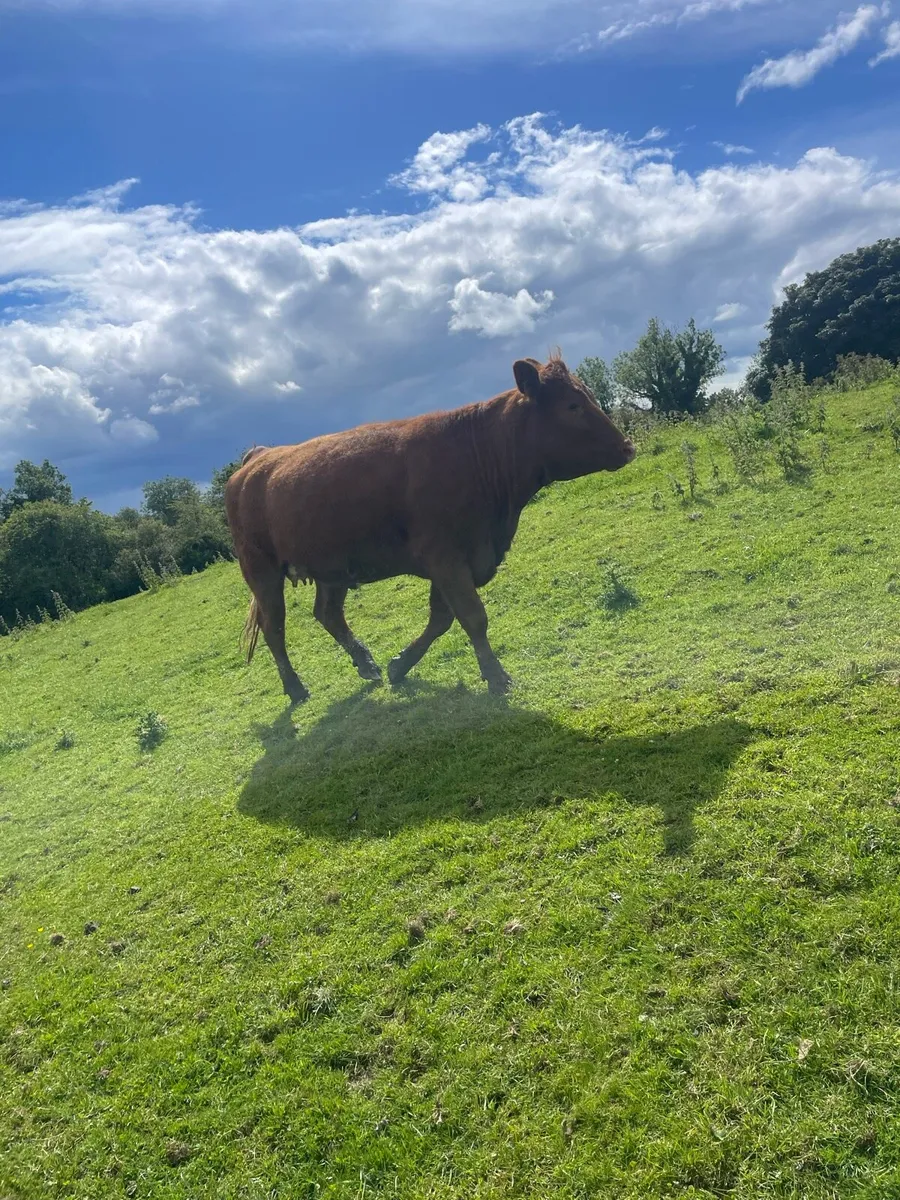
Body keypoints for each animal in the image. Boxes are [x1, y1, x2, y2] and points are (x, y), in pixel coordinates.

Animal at [224, 353, 636, 704]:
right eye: (573, 406)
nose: (628, 447)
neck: (477, 454)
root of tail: (259, 456)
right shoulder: (446, 557)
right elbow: (472, 616)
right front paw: (498, 678)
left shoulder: (459, 558)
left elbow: (442, 619)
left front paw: (399, 666)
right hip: (260, 570)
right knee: (274, 628)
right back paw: (296, 688)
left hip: (331, 564)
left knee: (327, 613)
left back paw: (367, 665)